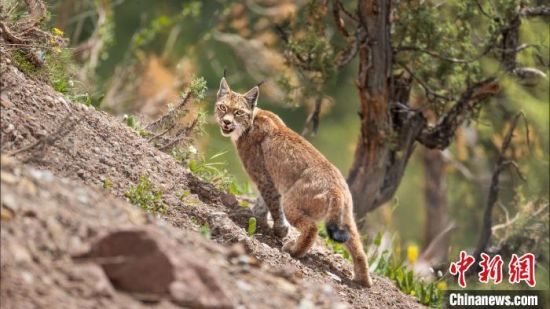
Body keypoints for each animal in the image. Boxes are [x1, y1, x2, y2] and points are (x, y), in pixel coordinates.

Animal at [216, 77, 376, 286]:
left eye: (238, 112)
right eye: (222, 107)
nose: (226, 122)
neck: (251, 121)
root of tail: (336, 188)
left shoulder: (263, 177)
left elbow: (271, 204)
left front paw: (279, 230)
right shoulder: (267, 178)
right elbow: (261, 202)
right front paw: (255, 216)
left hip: (291, 201)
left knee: (312, 228)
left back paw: (294, 250)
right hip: (347, 217)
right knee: (358, 247)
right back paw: (363, 280)